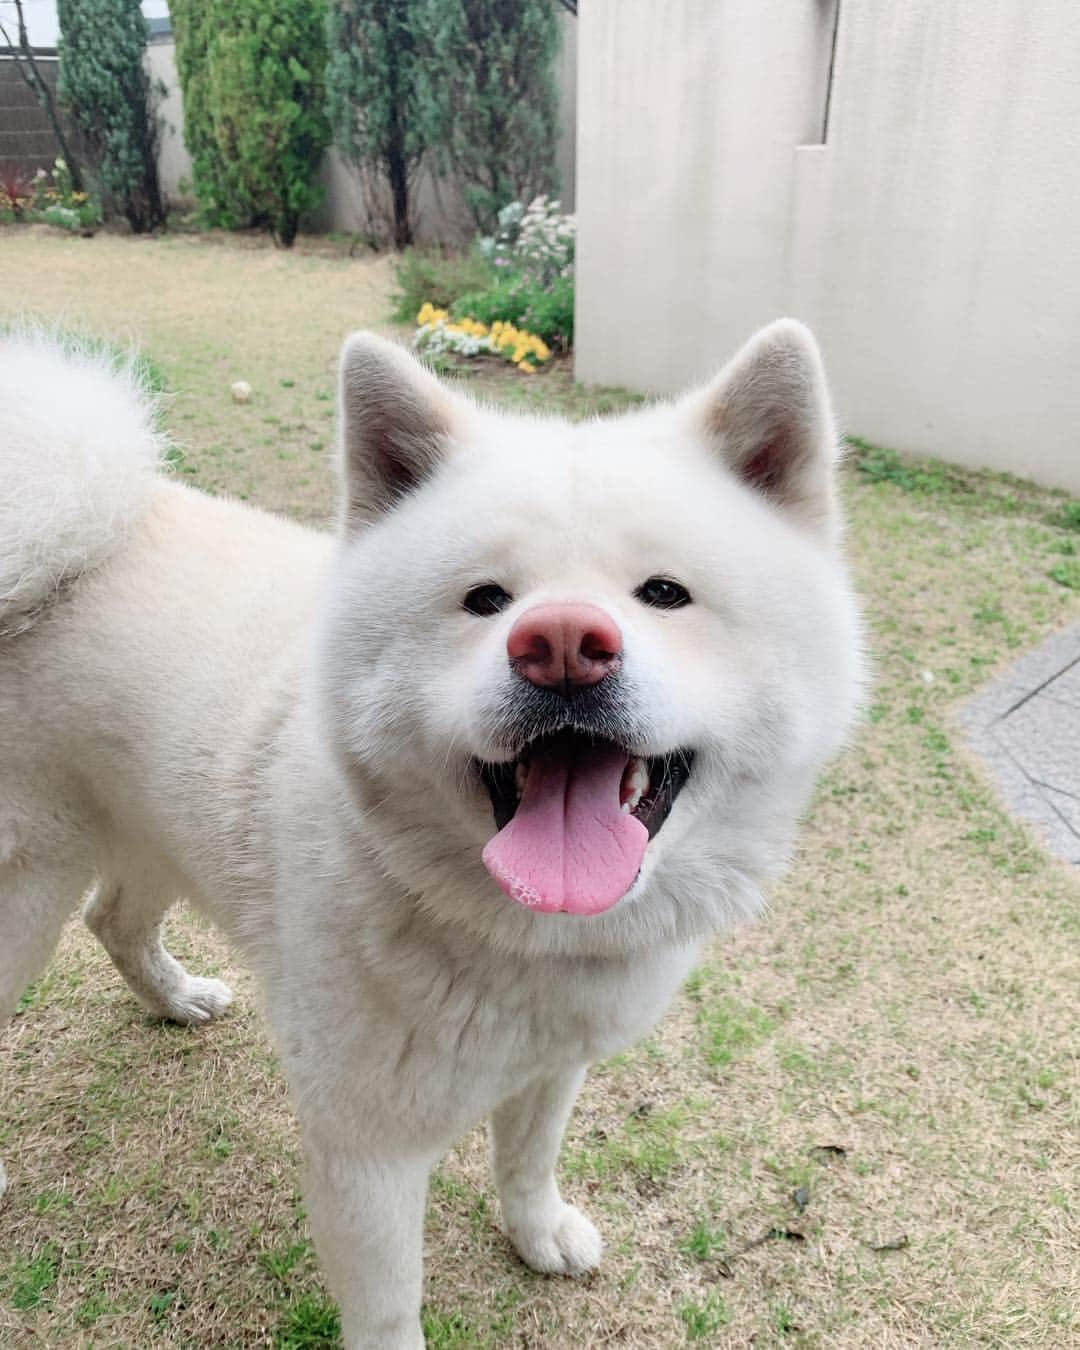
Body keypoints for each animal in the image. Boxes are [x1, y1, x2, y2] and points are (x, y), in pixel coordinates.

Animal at [0, 321, 858, 1344]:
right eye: (485, 600)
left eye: (664, 593)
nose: (561, 643)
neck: (518, 939)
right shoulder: (364, 1152)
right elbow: (387, 1310)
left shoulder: (549, 1067)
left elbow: (527, 1159)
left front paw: (537, 1231)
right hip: (25, 897)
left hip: (156, 825)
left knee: (115, 919)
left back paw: (175, 998)